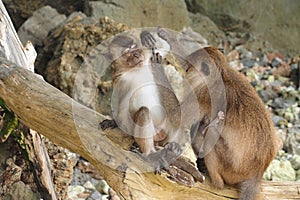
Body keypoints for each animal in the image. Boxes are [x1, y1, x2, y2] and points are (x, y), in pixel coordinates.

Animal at [157, 28, 276, 200]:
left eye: (190, 67)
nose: (187, 70)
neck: (221, 75)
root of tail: (257, 174)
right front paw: (166, 37)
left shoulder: (203, 95)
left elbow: (176, 117)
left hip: (231, 170)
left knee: (208, 131)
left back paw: (215, 180)